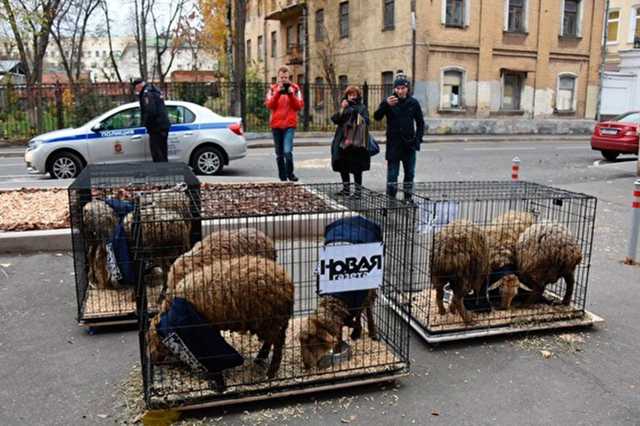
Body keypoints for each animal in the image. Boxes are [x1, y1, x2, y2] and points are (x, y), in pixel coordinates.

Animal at [149, 255, 294, 378]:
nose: (153, 360)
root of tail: (287, 282)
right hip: (271, 321)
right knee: (272, 340)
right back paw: (260, 359)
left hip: (269, 319)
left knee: (278, 343)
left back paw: (271, 372)